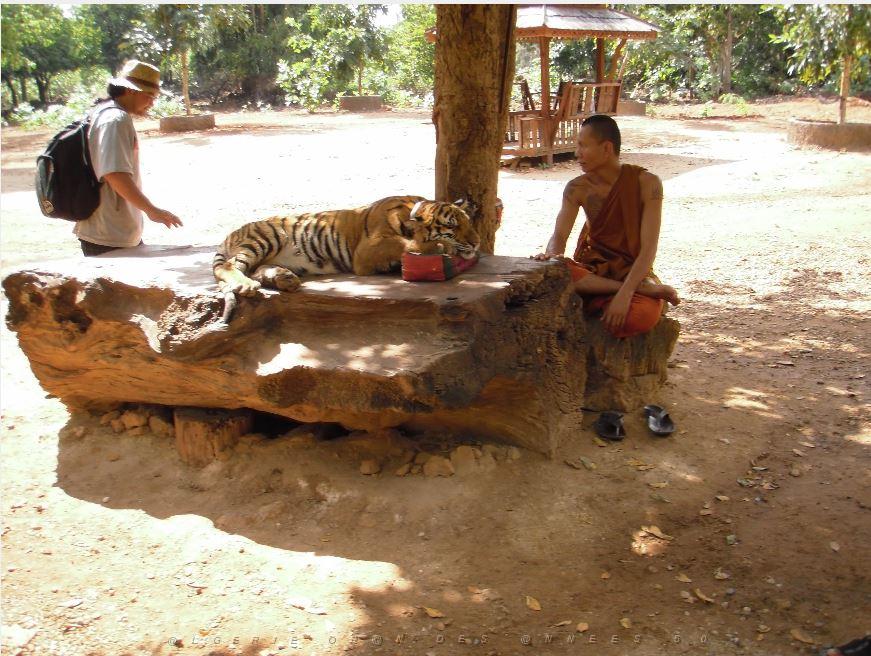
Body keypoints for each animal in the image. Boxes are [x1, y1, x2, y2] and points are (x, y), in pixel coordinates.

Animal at [213, 195, 480, 322]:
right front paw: (442, 246)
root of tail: (232, 233)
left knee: (257, 269)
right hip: (268, 237)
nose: (477, 242)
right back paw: (247, 284)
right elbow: (406, 243)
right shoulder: (368, 249)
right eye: (452, 226)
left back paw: (284, 278)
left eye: (469, 222)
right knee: (228, 266)